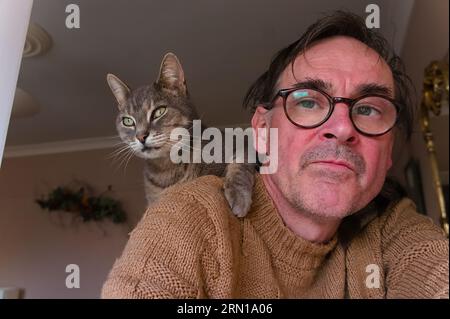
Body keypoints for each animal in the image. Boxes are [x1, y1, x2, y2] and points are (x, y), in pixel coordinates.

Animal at [104, 53, 253, 218]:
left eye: (159, 111)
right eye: (128, 121)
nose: (141, 136)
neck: (166, 168)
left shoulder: (244, 143)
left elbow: (240, 163)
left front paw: (238, 196)